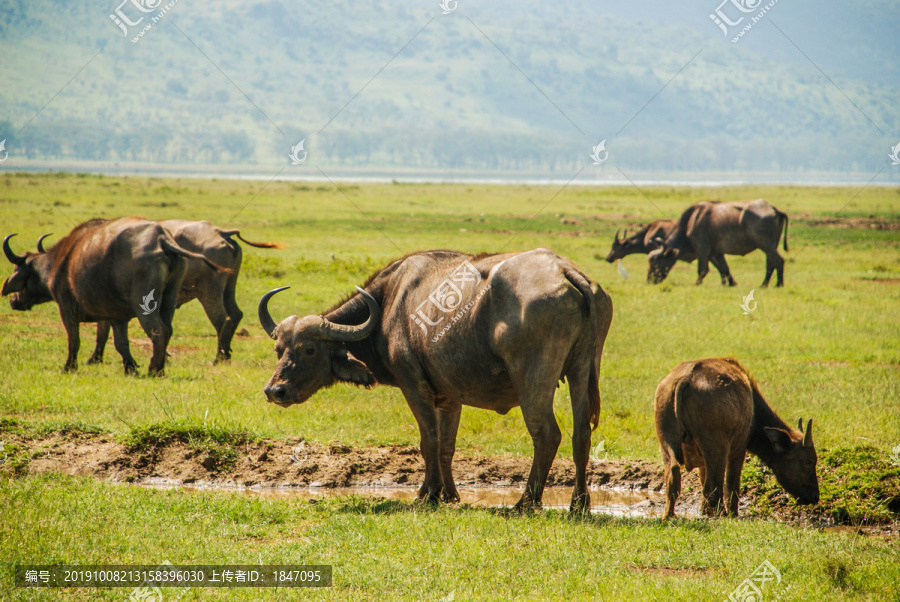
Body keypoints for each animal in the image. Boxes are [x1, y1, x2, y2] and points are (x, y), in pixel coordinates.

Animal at [4, 216, 229, 376]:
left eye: (17, 269)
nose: (13, 300)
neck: (60, 262)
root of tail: (162, 239)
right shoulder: (116, 316)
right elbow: (120, 342)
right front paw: (130, 367)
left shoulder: (67, 309)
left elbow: (74, 340)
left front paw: (69, 367)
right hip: (170, 298)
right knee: (169, 329)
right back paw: (160, 367)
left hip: (144, 304)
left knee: (159, 330)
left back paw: (154, 370)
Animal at [82, 219, 284, 360]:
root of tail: (220, 232)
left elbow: (103, 329)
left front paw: (94, 358)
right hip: (228, 286)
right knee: (235, 314)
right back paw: (226, 353)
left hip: (208, 291)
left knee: (221, 319)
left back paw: (219, 357)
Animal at [256, 246, 616, 508]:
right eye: (278, 349)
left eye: (308, 350)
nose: (275, 391)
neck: (389, 303)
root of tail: (565, 271)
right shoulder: (450, 397)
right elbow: (446, 445)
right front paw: (450, 495)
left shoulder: (414, 386)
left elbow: (427, 439)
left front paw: (426, 494)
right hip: (583, 369)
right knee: (581, 433)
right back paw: (579, 504)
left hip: (533, 381)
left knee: (546, 433)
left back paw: (525, 503)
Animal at [648, 199, 788, 286]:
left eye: (655, 263)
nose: (649, 280)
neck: (691, 223)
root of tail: (772, 208)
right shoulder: (715, 253)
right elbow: (724, 268)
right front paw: (730, 283)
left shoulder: (702, 251)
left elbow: (703, 270)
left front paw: (696, 283)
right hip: (770, 246)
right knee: (771, 264)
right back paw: (764, 284)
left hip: (766, 245)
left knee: (778, 261)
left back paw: (778, 284)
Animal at [652, 356, 816, 516]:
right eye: (809, 461)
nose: (815, 497)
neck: (753, 409)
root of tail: (687, 377)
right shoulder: (739, 448)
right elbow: (732, 483)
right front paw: (733, 513)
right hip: (717, 448)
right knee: (713, 487)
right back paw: (721, 514)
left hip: (667, 437)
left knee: (673, 473)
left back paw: (669, 515)